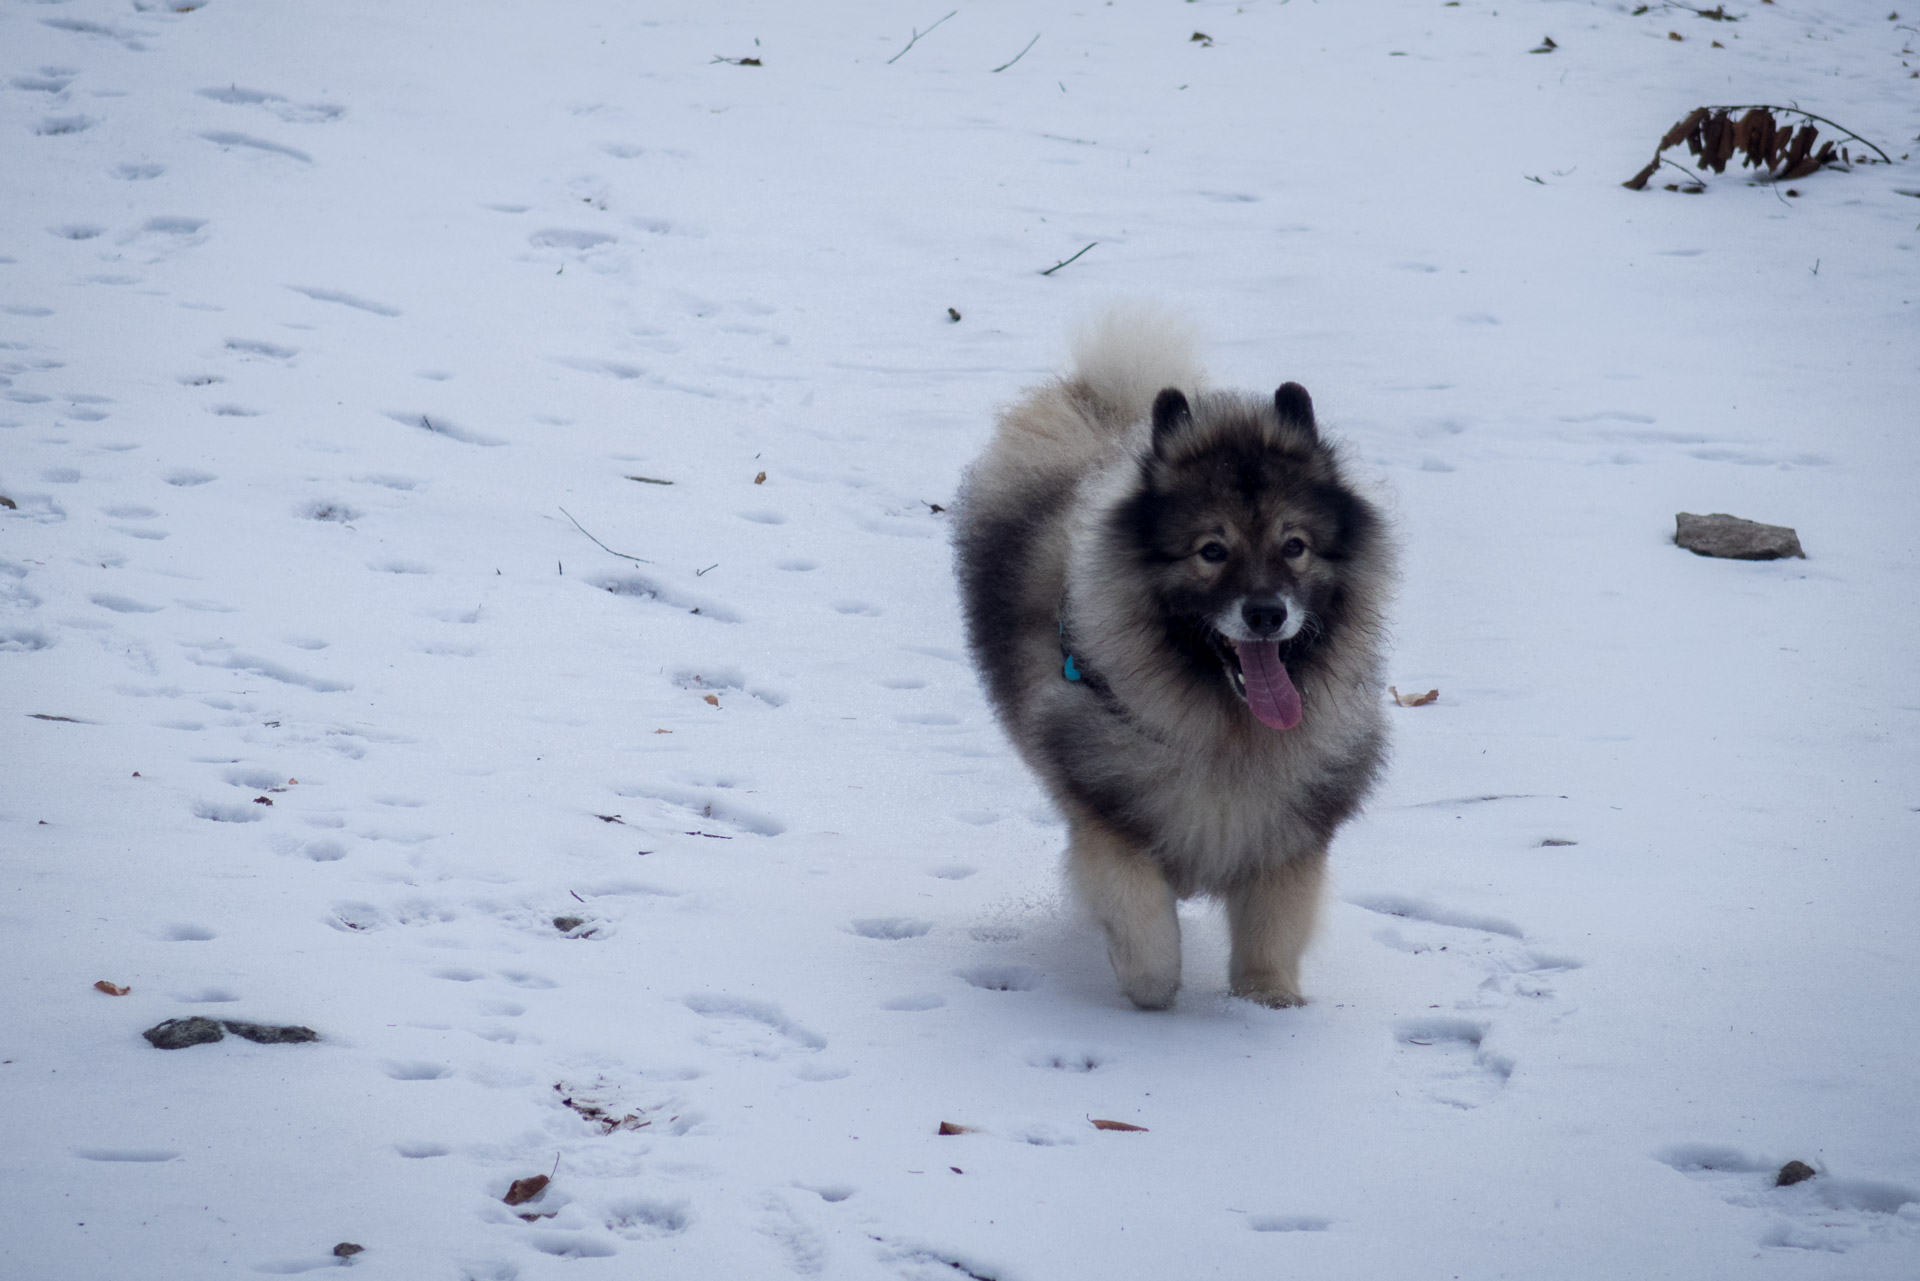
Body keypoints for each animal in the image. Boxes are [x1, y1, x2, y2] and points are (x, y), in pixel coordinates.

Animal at [952, 307, 1390, 1014]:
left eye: (1294, 546)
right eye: (1212, 550)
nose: (1266, 613)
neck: (1224, 733)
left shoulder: (1291, 833)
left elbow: (1273, 923)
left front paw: (1269, 998)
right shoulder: (1107, 811)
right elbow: (1140, 913)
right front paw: (1151, 987)